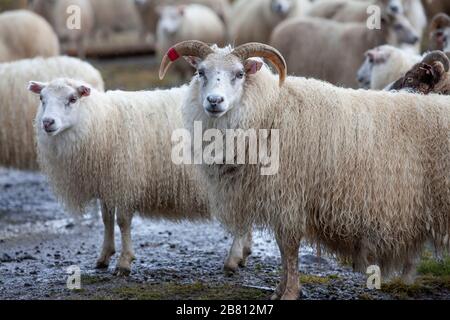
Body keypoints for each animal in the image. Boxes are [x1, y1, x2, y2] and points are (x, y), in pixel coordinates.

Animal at [28, 78, 253, 276]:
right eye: (41, 98)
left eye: (73, 99)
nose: (47, 122)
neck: (101, 122)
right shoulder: (107, 183)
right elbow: (106, 219)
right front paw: (104, 256)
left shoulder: (126, 179)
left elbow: (123, 222)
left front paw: (124, 262)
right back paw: (244, 253)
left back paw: (232, 259)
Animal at [160, 40, 450, 300]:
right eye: (201, 72)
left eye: (239, 74)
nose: (214, 101)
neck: (269, 112)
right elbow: (282, 248)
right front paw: (280, 290)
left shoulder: (289, 196)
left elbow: (288, 247)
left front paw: (289, 292)